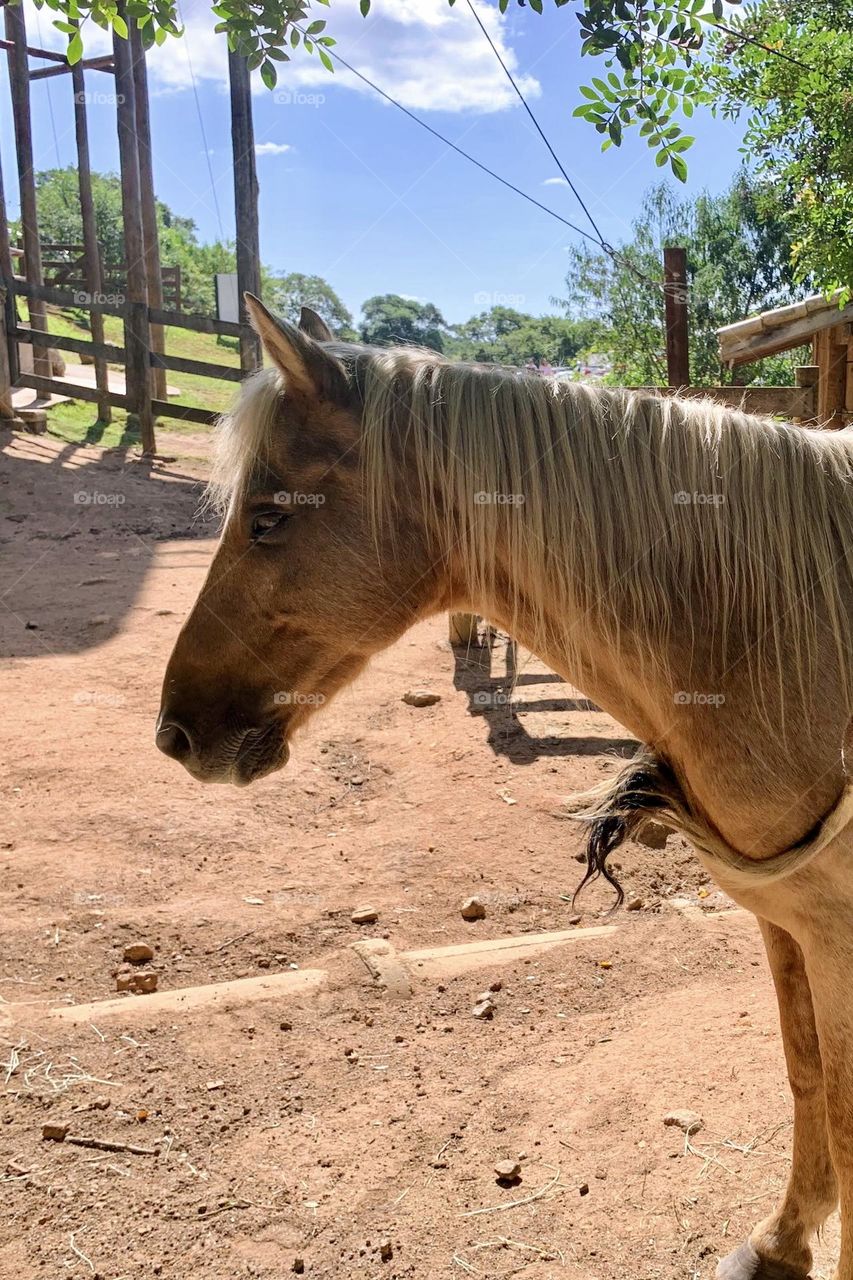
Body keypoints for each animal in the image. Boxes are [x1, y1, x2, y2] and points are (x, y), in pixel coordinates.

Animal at [156, 296, 850, 1280]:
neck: (781, 637)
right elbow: (805, 1075)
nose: (175, 732)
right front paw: (780, 1242)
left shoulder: (834, 936)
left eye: (266, 519)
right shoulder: (788, 921)